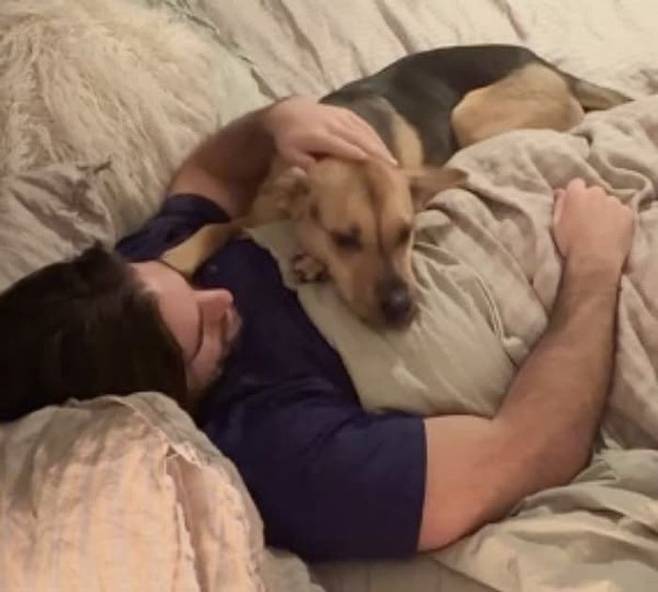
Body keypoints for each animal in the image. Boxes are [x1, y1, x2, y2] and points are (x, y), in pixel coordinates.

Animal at [162, 44, 629, 328]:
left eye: (406, 234)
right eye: (344, 240)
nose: (402, 309)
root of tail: (551, 68)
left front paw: (312, 262)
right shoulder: (263, 208)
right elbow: (217, 225)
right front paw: (182, 253)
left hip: (470, 116)